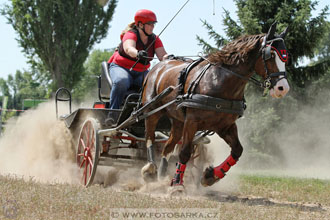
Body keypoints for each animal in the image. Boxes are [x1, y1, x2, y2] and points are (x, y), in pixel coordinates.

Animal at [141, 21, 290, 187]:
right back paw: (150, 170)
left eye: (286, 57)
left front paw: (211, 175)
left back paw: (161, 175)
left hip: (178, 121)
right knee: (149, 138)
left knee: (167, 147)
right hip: (152, 111)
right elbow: (185, 152)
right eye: (271, 55)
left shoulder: (224, 125)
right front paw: (177, 184)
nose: (283, 88)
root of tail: (159, 66)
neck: (219, 82)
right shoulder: (192, 122)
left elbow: (237, 150)